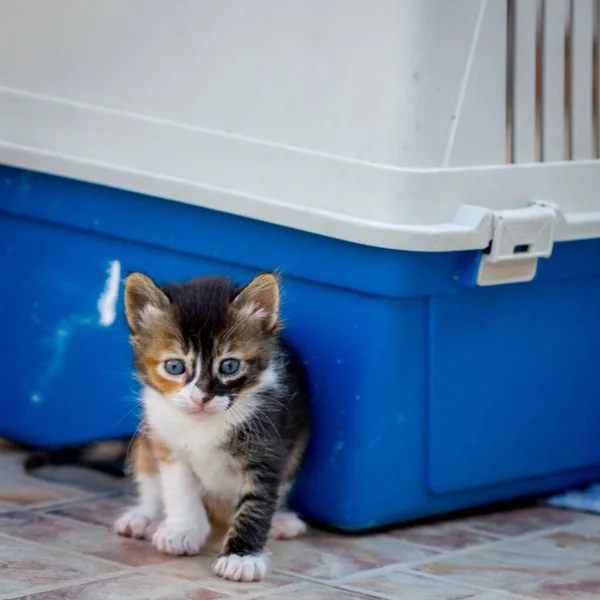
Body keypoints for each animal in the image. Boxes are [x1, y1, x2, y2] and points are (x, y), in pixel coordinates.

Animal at [113, 272, 310, 580]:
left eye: (229, 366)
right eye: (174, 367)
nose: (201, 397)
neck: (202, 423)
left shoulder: (267, 448)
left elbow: (256, 503)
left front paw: (242, 558)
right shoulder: (166, 442)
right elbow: (178, 488)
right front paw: (182, 530)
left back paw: (282, 521)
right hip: (145, 444)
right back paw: (143, 517)